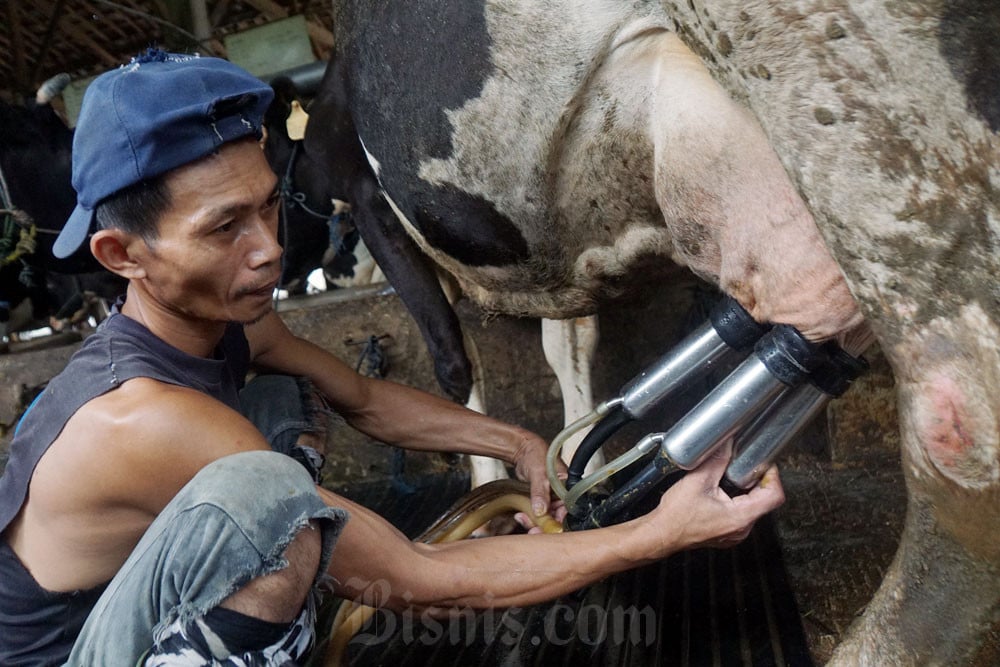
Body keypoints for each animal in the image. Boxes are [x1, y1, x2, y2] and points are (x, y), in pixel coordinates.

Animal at [304, 3, 1000, 664]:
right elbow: (566, 351)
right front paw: (574, 479)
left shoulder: (370, 202)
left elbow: (453, 360)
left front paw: (492, 497)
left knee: (962, 434)